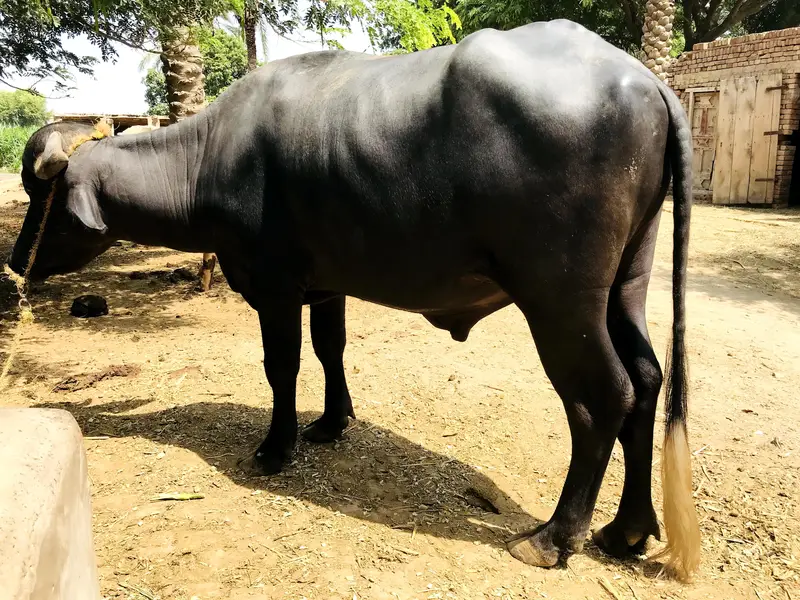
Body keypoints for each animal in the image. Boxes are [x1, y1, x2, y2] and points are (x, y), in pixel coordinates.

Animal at [6, 20, 700, 579]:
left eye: (41, 197)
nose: (15, 262)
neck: (209, 160)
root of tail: (641, 79)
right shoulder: (327, 285)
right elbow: (329, 348)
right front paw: (332, 421)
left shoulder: (275, 286)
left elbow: (282, 365)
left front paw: (277, 445)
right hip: (626, 285)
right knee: (647, 378)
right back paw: (627, 530)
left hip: (561, 299)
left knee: (603, 397)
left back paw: (555, 537)